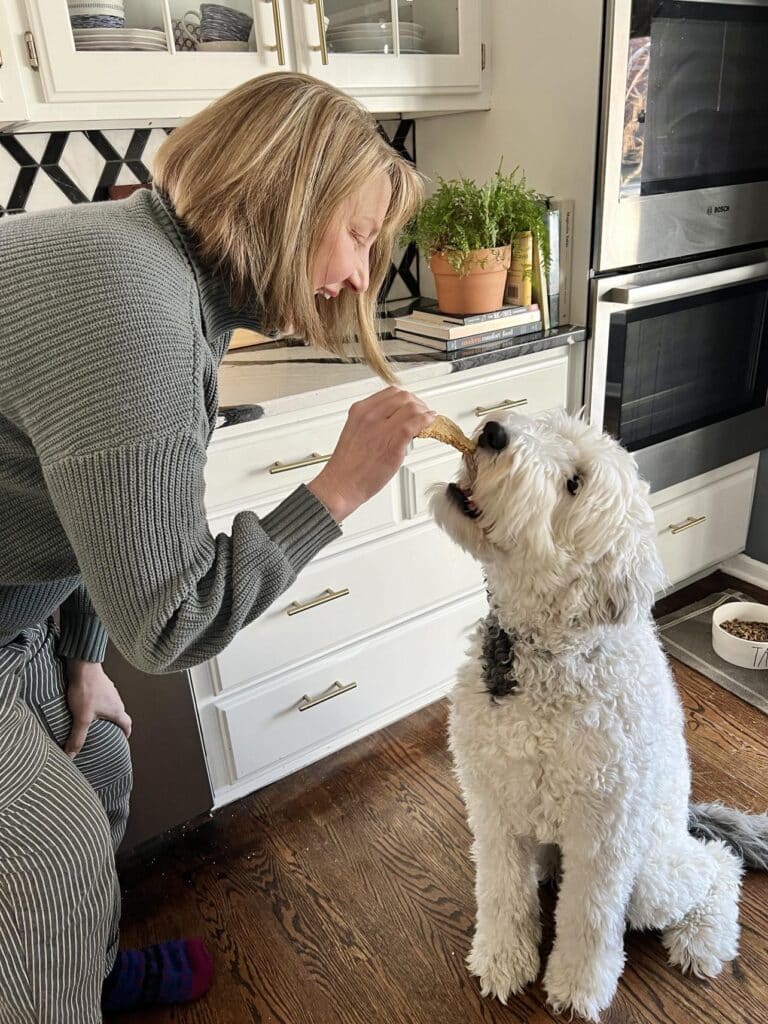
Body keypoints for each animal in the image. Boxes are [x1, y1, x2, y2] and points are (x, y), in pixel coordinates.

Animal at [430, 409, 765, 1024]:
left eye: (573, 484)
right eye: (541, 425)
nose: (492, 431)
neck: (543, 653)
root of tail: (685, 821)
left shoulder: (603, 833)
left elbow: (587, 918)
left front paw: (577, 989)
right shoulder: (492, 808)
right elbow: (502, 893)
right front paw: (504, 960)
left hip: (651, 872)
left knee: (717, 865)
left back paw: (703, 940)